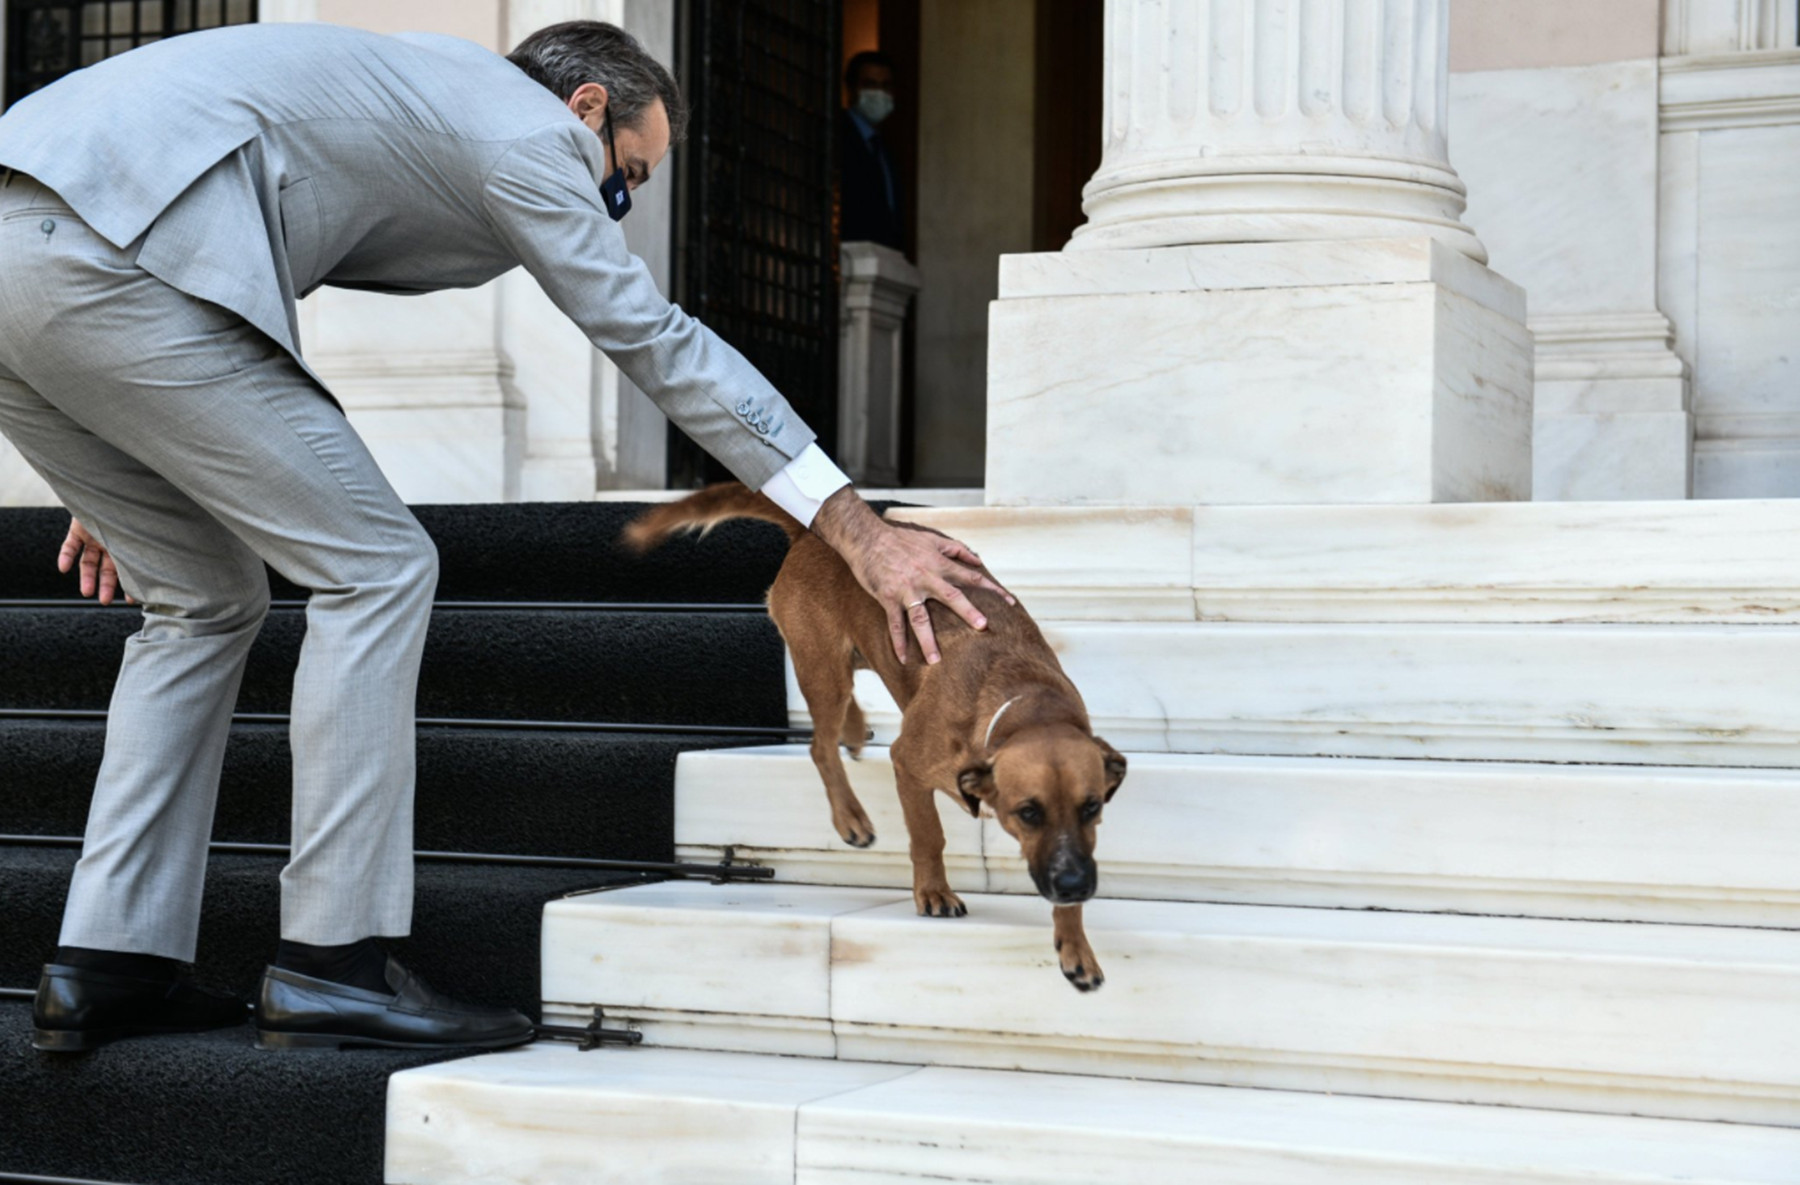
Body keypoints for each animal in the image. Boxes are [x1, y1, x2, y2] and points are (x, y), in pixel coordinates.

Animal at [626, 479, 1116, 986]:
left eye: (1092, 807)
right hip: (822, 668)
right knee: (820, 747)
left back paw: (856, 728)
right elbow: (929, 836)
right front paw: (934, 892)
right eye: (1028, 813)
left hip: (862, 654)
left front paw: (1076, 944)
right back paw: (850, 815)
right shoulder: (910, 765)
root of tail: (810, 536)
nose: (1076, 884)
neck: (1025, 699)